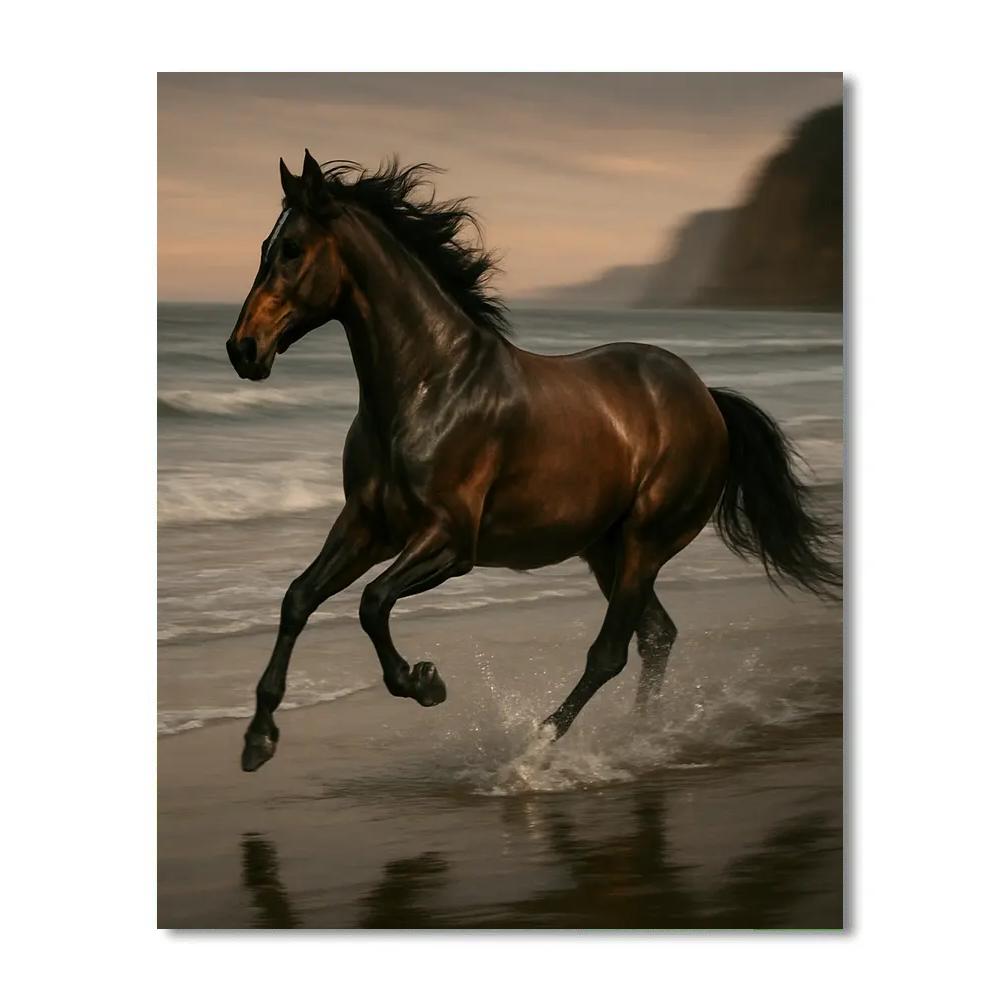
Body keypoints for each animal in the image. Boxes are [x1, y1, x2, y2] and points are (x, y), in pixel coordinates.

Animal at [225, 150, 841, 772]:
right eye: (264, 245)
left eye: (293, 249)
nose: (242, 349)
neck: (428, 388)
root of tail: (707, 399)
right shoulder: (367, 525)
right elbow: (298, 597)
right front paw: (258, 739)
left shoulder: (449, 542)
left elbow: (373, 604)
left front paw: (425, 682)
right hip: (606, 548)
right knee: (656, 635)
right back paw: (640, 735)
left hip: (645, 542)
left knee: (612, 651)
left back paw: (540, 743)